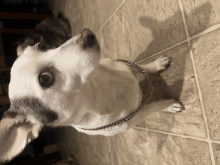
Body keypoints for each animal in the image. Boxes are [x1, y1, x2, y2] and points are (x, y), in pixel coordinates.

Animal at [0, 27, 184, 162]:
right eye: (45, 79)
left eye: (41, 45)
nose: (86, 34)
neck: (97, 87)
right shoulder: (137, 116)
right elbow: (154, 107)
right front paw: (169, 106)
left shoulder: (125, 66)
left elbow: (141, 67)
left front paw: (155, 65)